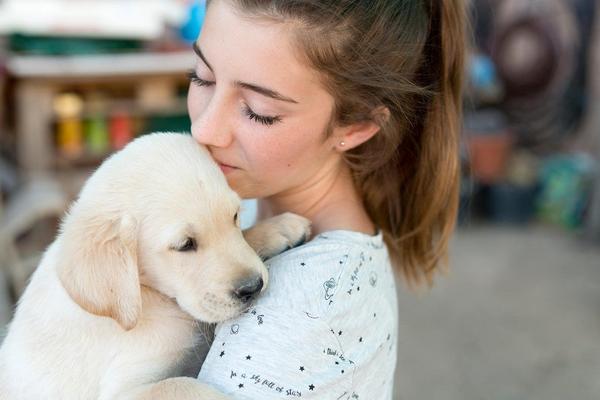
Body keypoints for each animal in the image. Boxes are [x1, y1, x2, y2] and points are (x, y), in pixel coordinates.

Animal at [0, 134, 310, 400]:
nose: (252, 287)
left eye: (235, 216)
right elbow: (181, 385)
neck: (147, 295)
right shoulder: (124, 390)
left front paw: (276, 228)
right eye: (185, 245)